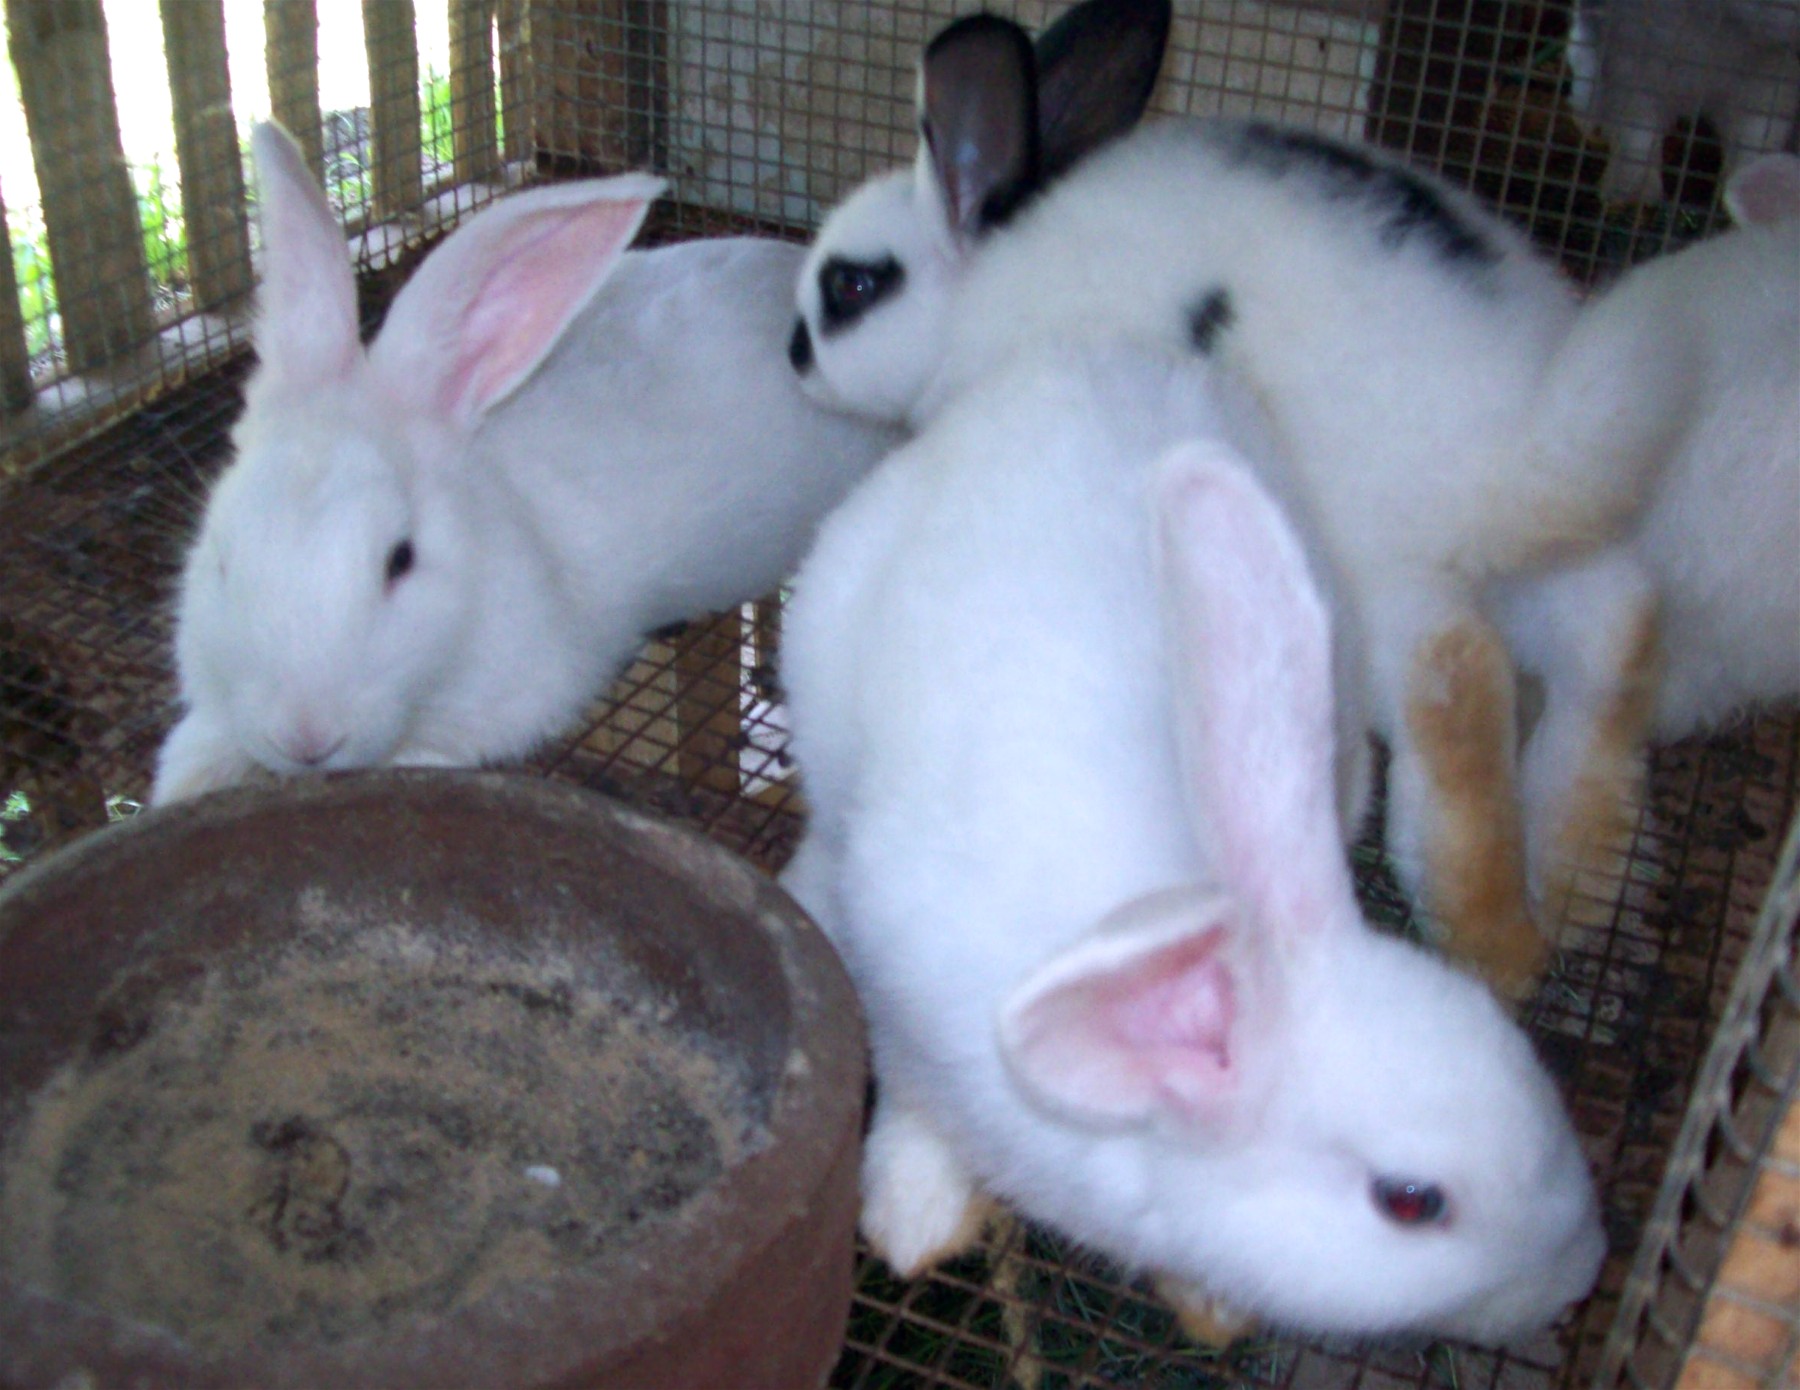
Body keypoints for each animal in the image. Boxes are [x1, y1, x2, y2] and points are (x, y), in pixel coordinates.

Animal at [777, 340, 1606, 1343]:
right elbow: (913, 1101)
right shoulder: (907, 1011)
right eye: (1411, 1201)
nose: (1580, 1277)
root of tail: (1079, 364)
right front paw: (917, 1217)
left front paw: (1210, 1306)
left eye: (1530, 1064)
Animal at [788, 0, 1674, 995]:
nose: (794, 355)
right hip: (1550, 563)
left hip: (1386, 578)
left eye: (853, 285)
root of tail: (1518, 436)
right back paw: (1581, 882)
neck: (983, 276)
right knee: (1620, 630)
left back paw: (1496, 944)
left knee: (1461, 684)